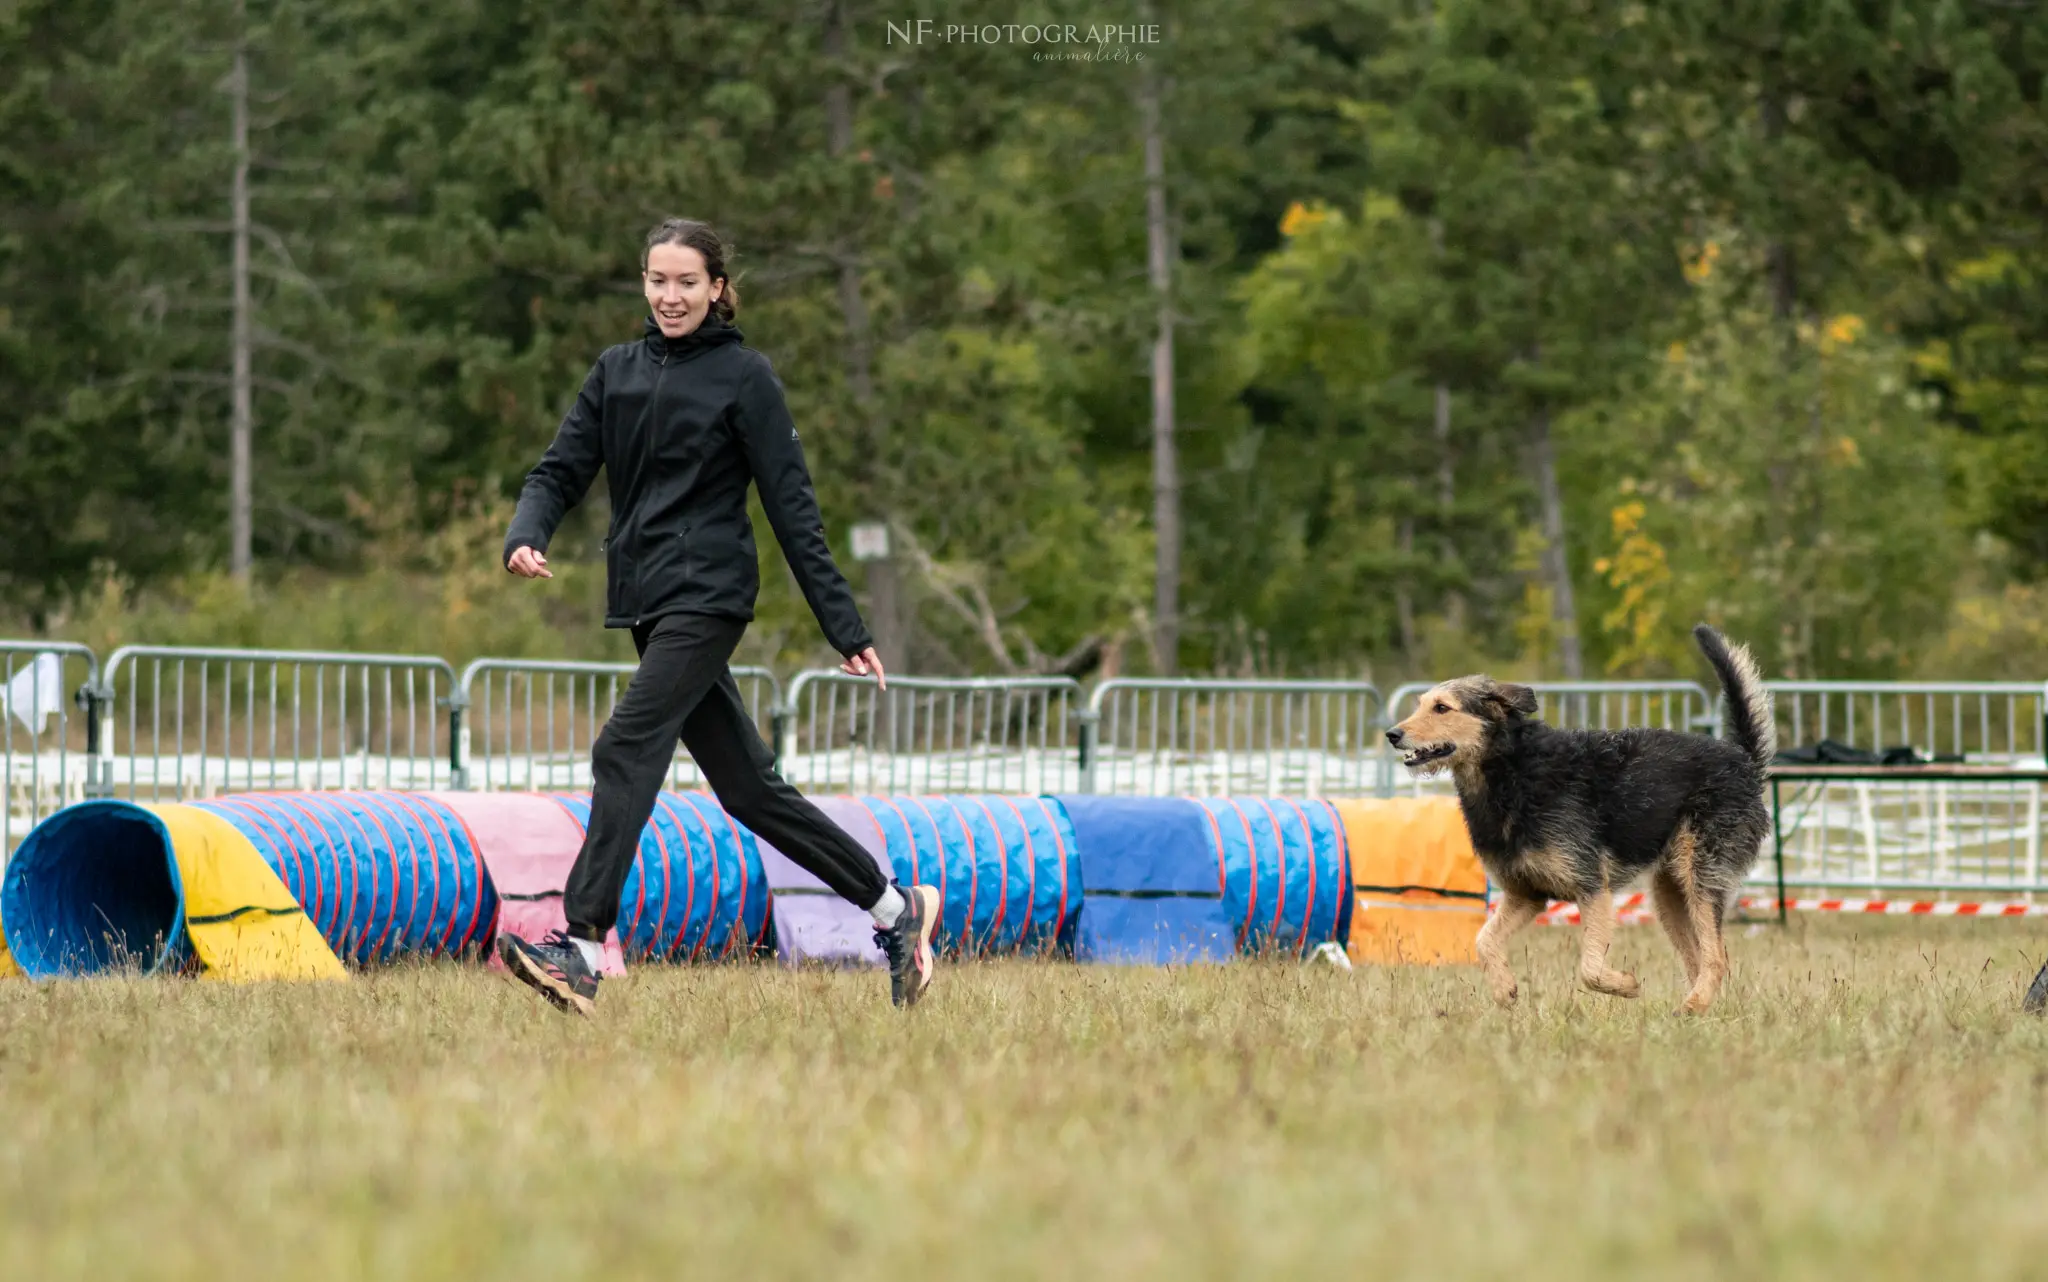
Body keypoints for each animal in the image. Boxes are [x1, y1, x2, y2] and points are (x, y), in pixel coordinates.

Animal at [1392, 622, 1777, 1007]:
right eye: (1422, 704)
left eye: (1442, 708)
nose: (1392, 734)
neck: (1514, 770)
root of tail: (1744, 762)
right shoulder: (1526, 894)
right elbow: (1484, 941)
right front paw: (1504, 989)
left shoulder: (1591, 888)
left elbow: (1590, 968)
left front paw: (1625, 985)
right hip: (1669, 893)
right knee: (1699, 959)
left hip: (1701, 877)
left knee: (1716, 958)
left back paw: (1692, 1007)